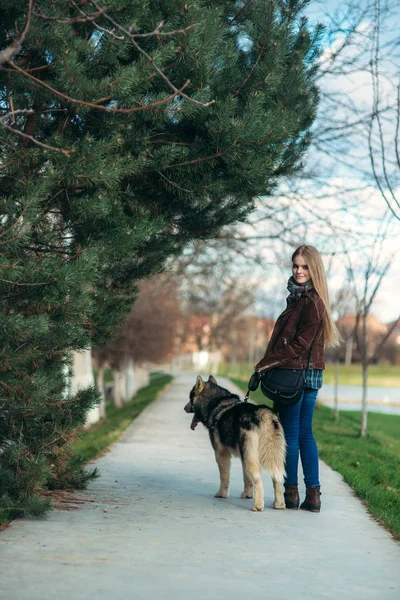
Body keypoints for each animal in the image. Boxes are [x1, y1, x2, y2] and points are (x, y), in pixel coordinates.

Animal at [183, 376, 286, 510]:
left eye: (190, 397)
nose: (184, 408)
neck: (216, 404)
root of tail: (264, 415)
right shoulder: (243, 457)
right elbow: (247, 479)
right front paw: (247, 494)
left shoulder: (221, 454)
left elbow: (224, 477)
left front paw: (221, 494)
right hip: (270, 457)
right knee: (277, 480)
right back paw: (279, 504)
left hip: (251, 459)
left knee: (258, 481)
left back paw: (258, 505)